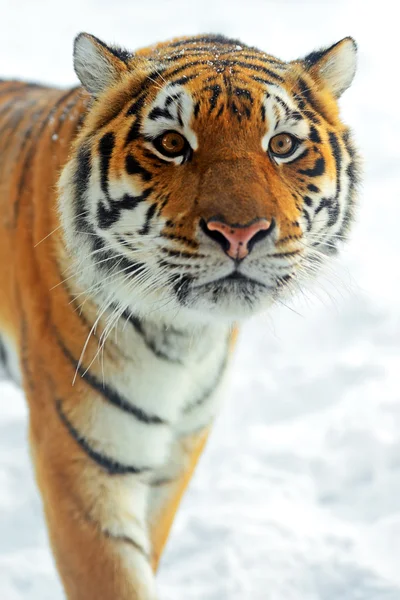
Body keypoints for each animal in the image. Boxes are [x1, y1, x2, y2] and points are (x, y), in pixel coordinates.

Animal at [0, 32, 360, 600]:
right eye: (171, 144)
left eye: (282, 145)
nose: (240, 233)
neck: (185, 337)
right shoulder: (84, 459)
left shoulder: (177, 453)